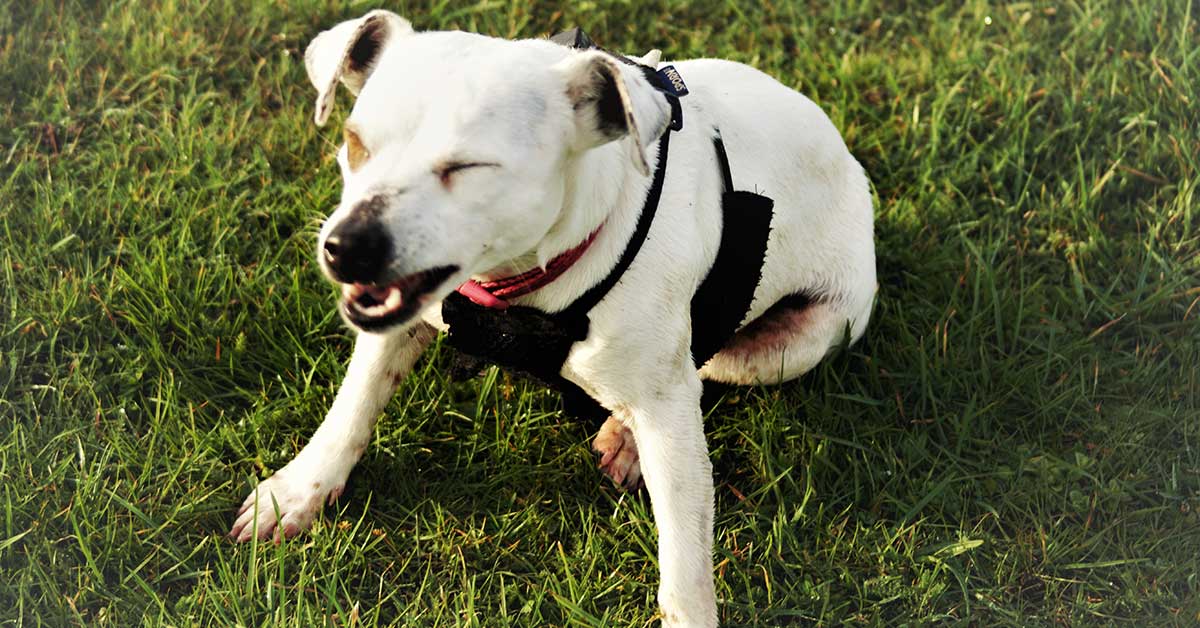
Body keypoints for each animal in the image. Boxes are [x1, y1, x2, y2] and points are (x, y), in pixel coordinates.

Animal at [231, 12, 873, 624]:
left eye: (470, 166)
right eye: (355, 142)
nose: (346, 247)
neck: (521, 286)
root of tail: (852, 166)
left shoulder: (671, 415)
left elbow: (685, 570)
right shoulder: (403, 321)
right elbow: (354, 406)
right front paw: (298, 491)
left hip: (792, 345)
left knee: (704, 368)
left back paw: (627, 437)